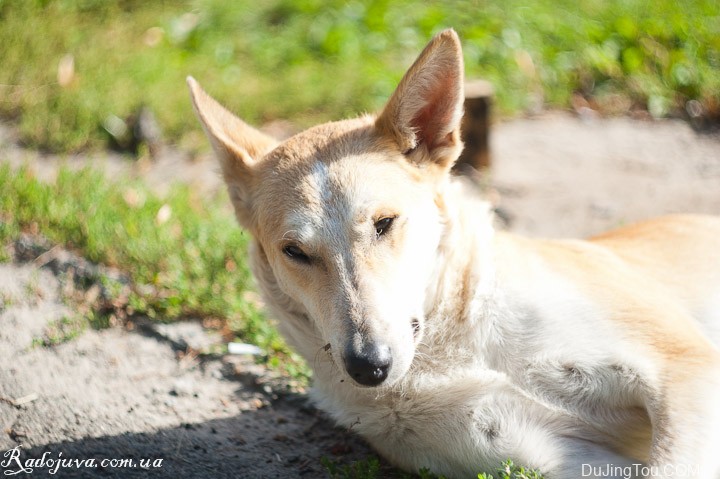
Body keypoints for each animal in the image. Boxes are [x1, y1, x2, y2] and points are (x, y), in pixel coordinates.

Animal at [190, 30, 720, 479]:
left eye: (384, 223)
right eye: (295, 251)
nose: (368, 368)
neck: (453, 343)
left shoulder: (685, 368)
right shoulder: (548, 455)